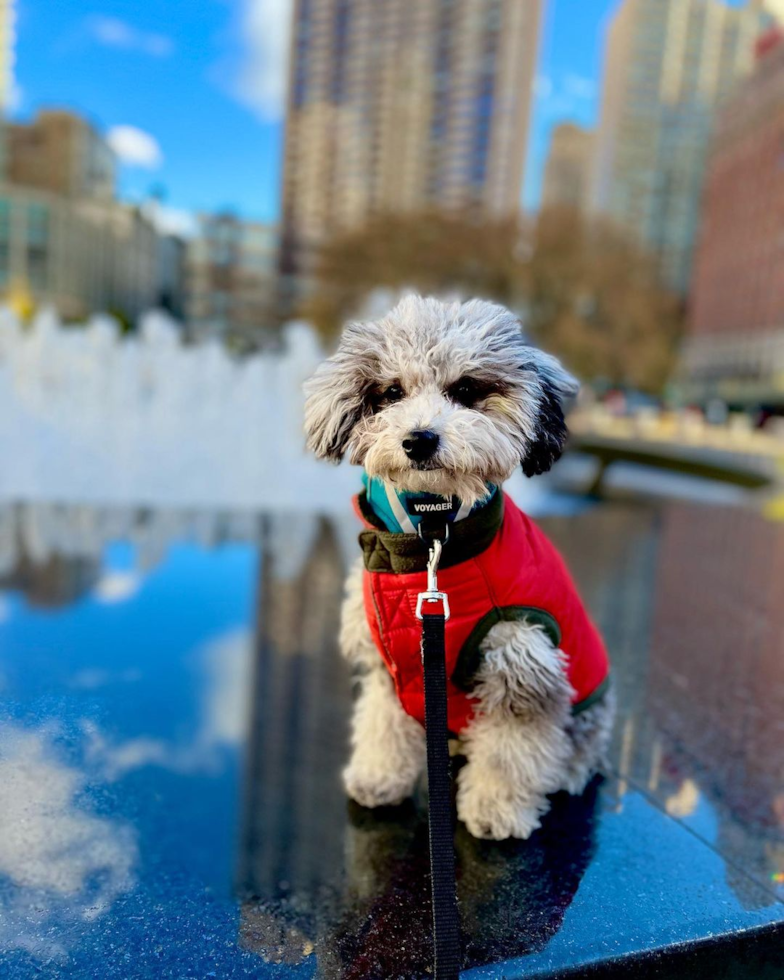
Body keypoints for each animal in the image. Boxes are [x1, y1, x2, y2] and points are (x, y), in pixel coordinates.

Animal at [300, 294, 612, 840]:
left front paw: (495, 809)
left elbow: (511, 751)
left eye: (465, 389)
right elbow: (382, 723)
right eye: (391, 393)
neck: (429, 540)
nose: (419, 439)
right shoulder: (389, 663)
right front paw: (379, 777)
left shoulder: (521, 658)